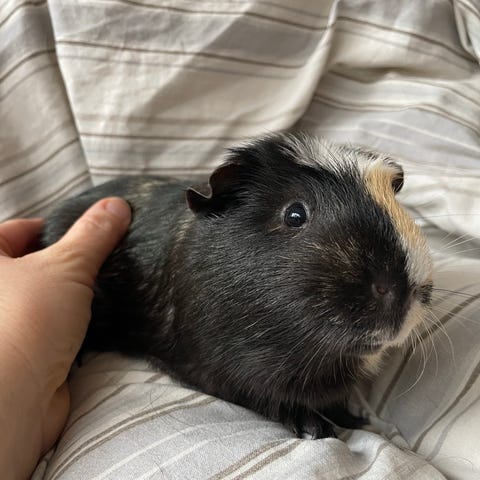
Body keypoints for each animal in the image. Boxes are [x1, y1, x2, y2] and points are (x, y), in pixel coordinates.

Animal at [41, 133, 433, 438]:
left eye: (394, 199)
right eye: (295, 214)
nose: (408, 289)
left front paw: (355, 421)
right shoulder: (223, 374)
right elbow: (270, 399)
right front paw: (316, 429)